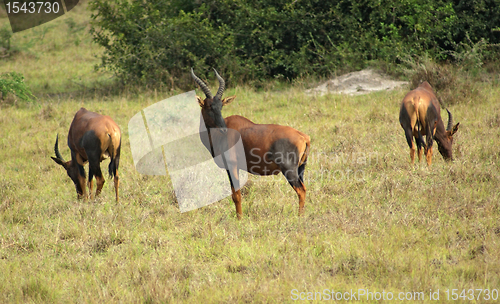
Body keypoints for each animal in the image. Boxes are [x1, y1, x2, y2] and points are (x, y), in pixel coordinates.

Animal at [190, 68, 308, 218]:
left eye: (221, 106)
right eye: (209, 106)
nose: (223, 129)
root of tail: (303, 136)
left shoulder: (232, 166)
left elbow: (236, 195)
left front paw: (239, 219)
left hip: (289, 170)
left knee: (300, 190)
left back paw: (300, 217)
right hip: (301, 169)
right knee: (304, 188)